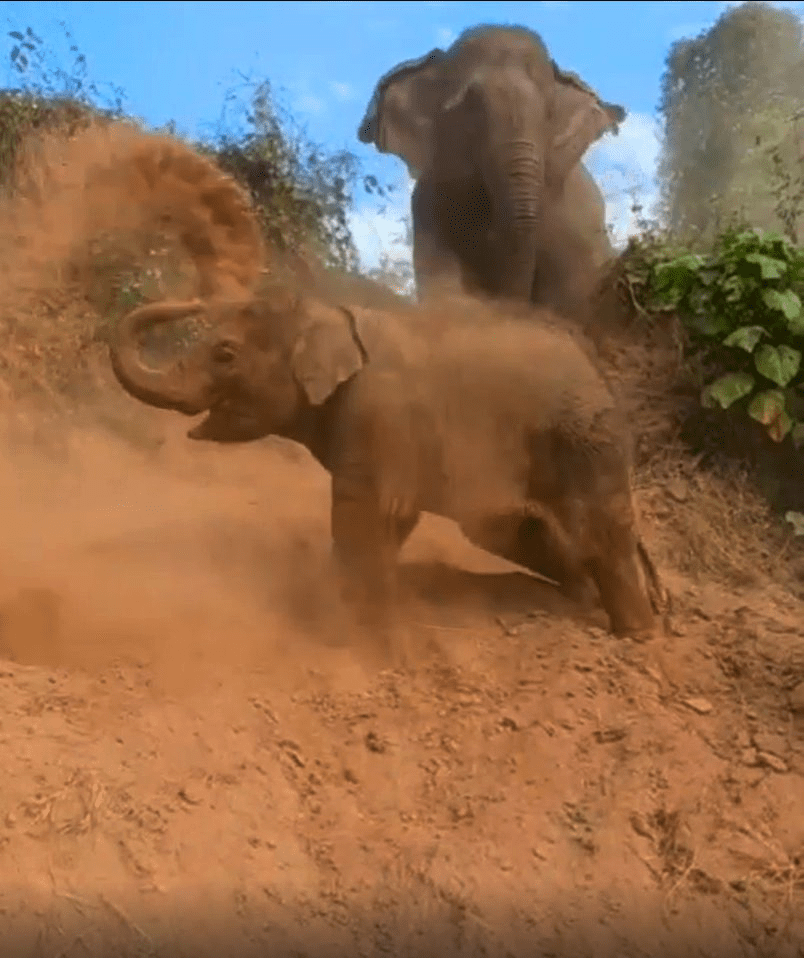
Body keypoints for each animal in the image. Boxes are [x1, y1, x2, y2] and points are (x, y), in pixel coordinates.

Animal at [107, 286, 664, 644]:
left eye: (225, 354)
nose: (196, 298)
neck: (330, 314)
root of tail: (597, 364)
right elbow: (392, 520)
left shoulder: (375, 414)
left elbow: (363, 510)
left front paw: (352, 632)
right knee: (514, 531)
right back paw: (581, 599)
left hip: (586, 439)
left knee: (600, 527)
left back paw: (637, 634)